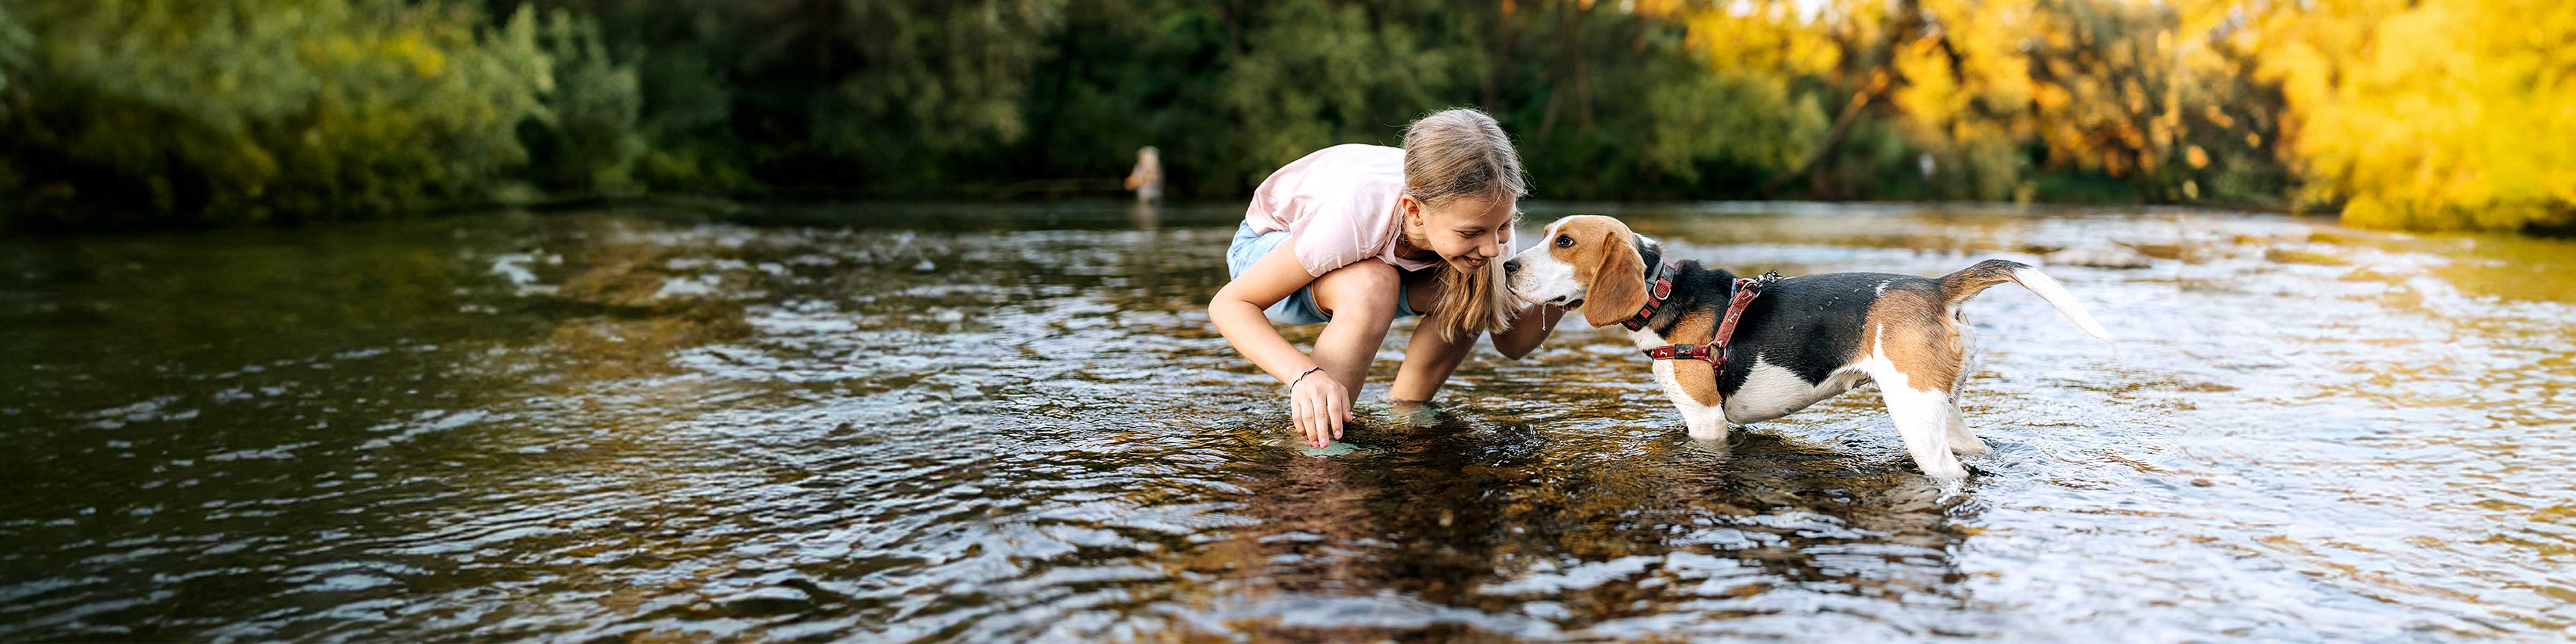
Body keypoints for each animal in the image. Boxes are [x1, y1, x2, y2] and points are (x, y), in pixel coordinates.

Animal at [1504, 215, 2112, 479]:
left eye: (1564, 242)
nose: (1507, 266)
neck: (1663, 293)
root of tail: (1936, 287)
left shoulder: (1706, 421)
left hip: (1915, 417)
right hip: (1946, 411)